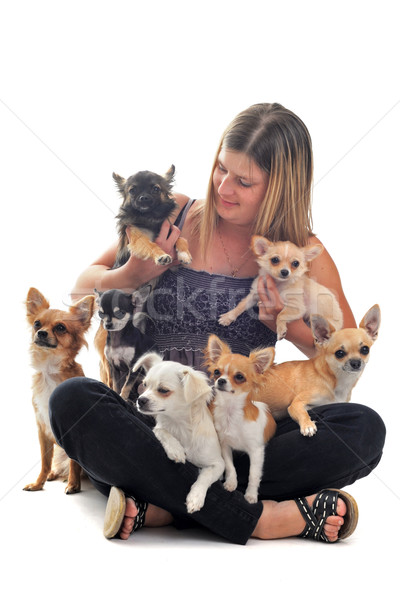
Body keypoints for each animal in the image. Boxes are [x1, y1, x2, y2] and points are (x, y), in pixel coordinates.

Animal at [131, 354, 225, 512]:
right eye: (144, 385)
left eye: (163, 390)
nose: (140, 399)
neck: (178, 424)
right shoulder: (160, 427)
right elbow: (162, 431)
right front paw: (176, 450)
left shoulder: (218, 464)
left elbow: (205, 476)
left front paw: (196, 497)